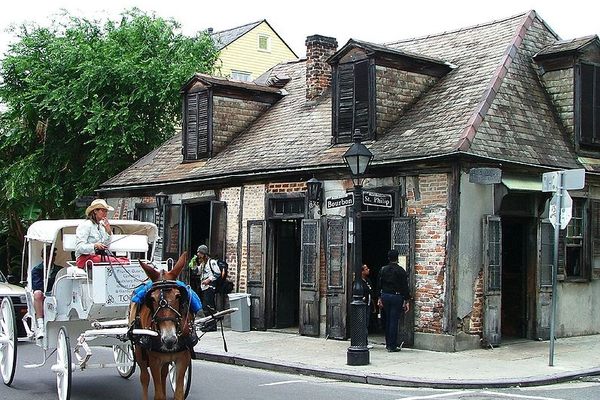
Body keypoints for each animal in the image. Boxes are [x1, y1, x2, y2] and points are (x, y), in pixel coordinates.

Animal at [129, 253, 197, 400]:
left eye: (178, 296)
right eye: (152, 299)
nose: (169, 339)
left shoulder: (183, 358)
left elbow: (178, 393)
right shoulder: (154, 360)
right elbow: (158, 394)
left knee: (164, 373)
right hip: (139, 350)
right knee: (144, 378)